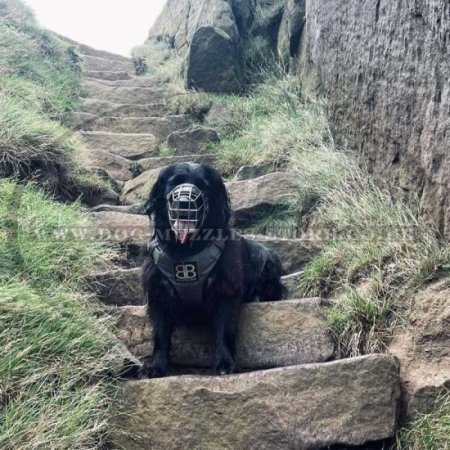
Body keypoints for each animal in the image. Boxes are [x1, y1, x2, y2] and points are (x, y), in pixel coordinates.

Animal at [140, 163, 284, 378]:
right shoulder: (158, 292)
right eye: (173, 182)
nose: (184, 204)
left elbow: (224, 330)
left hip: (264, 256)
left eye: (203, 186)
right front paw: (155, 366)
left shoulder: (226, 291)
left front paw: (225, 363)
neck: (187, 250)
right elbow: (160, 334)